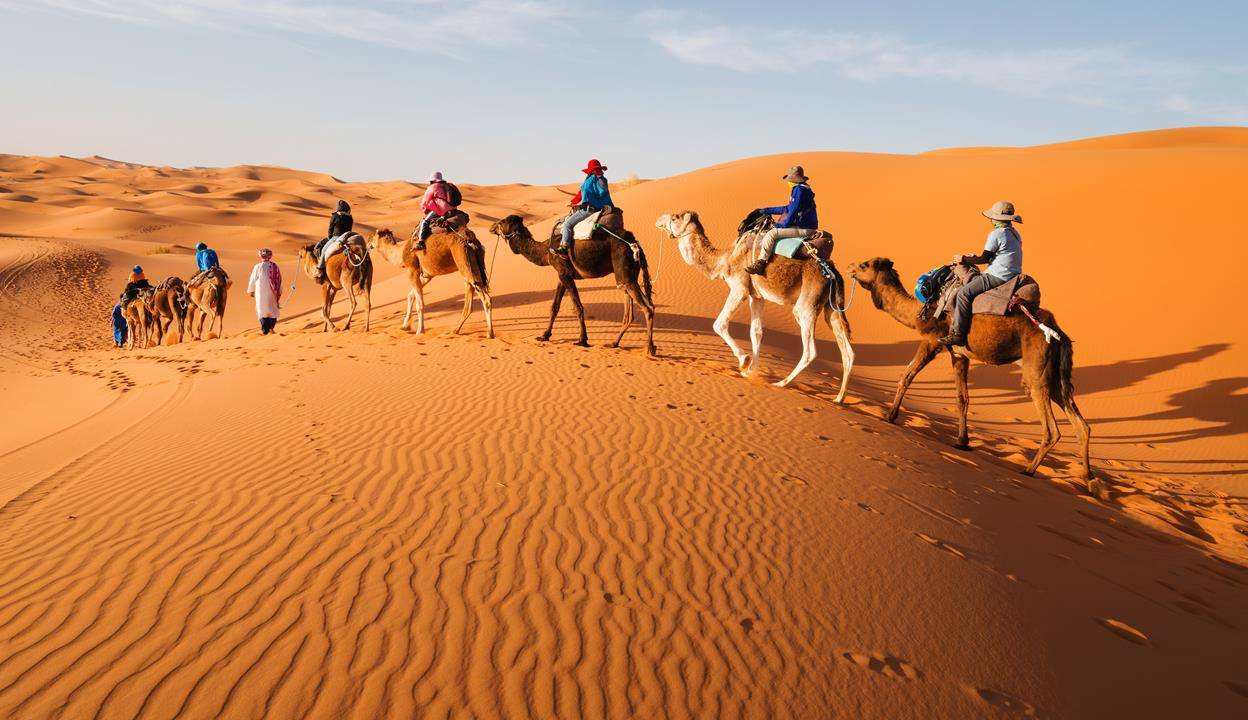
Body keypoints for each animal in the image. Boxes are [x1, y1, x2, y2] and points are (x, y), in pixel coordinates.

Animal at [486, 215, 658, 356]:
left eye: (502, 222)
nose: (491, 227)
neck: (546, 250)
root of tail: (635, 243)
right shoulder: (561, 275)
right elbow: (554, 307)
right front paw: (544, 335)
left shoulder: (565, 273)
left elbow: (578, 306)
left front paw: (582, 340)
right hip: (626, 276)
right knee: (632, 310)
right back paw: (614, 343)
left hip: (624, 271)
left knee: (647, 307)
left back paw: (649, 348)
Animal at [648, 210, 853, 399]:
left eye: (675, 217)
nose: (658, 219)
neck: (725, 259)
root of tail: (832, 272)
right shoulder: (757, 296)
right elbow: (756, 332)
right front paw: (752, 371)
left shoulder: (739, 289)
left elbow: (719, 324)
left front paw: (744, 361)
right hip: (831, 307)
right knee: (847, 352)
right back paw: (839, 398)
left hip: (807, 304)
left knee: (810, 350)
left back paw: (781, 383)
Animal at [848, 255, 1093, 486]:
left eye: (865, 265)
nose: (850, 267)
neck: (921, 310)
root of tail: (1058, 333)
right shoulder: (959, 354)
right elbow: (962, 398)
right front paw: (962, 442)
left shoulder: (933, 340)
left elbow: (906, 376)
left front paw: (890, 416)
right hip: (1054, 375)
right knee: (1081, 424)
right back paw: (1088, 479)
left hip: (1036, 369)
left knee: (1051, 428)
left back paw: (1029, 470)